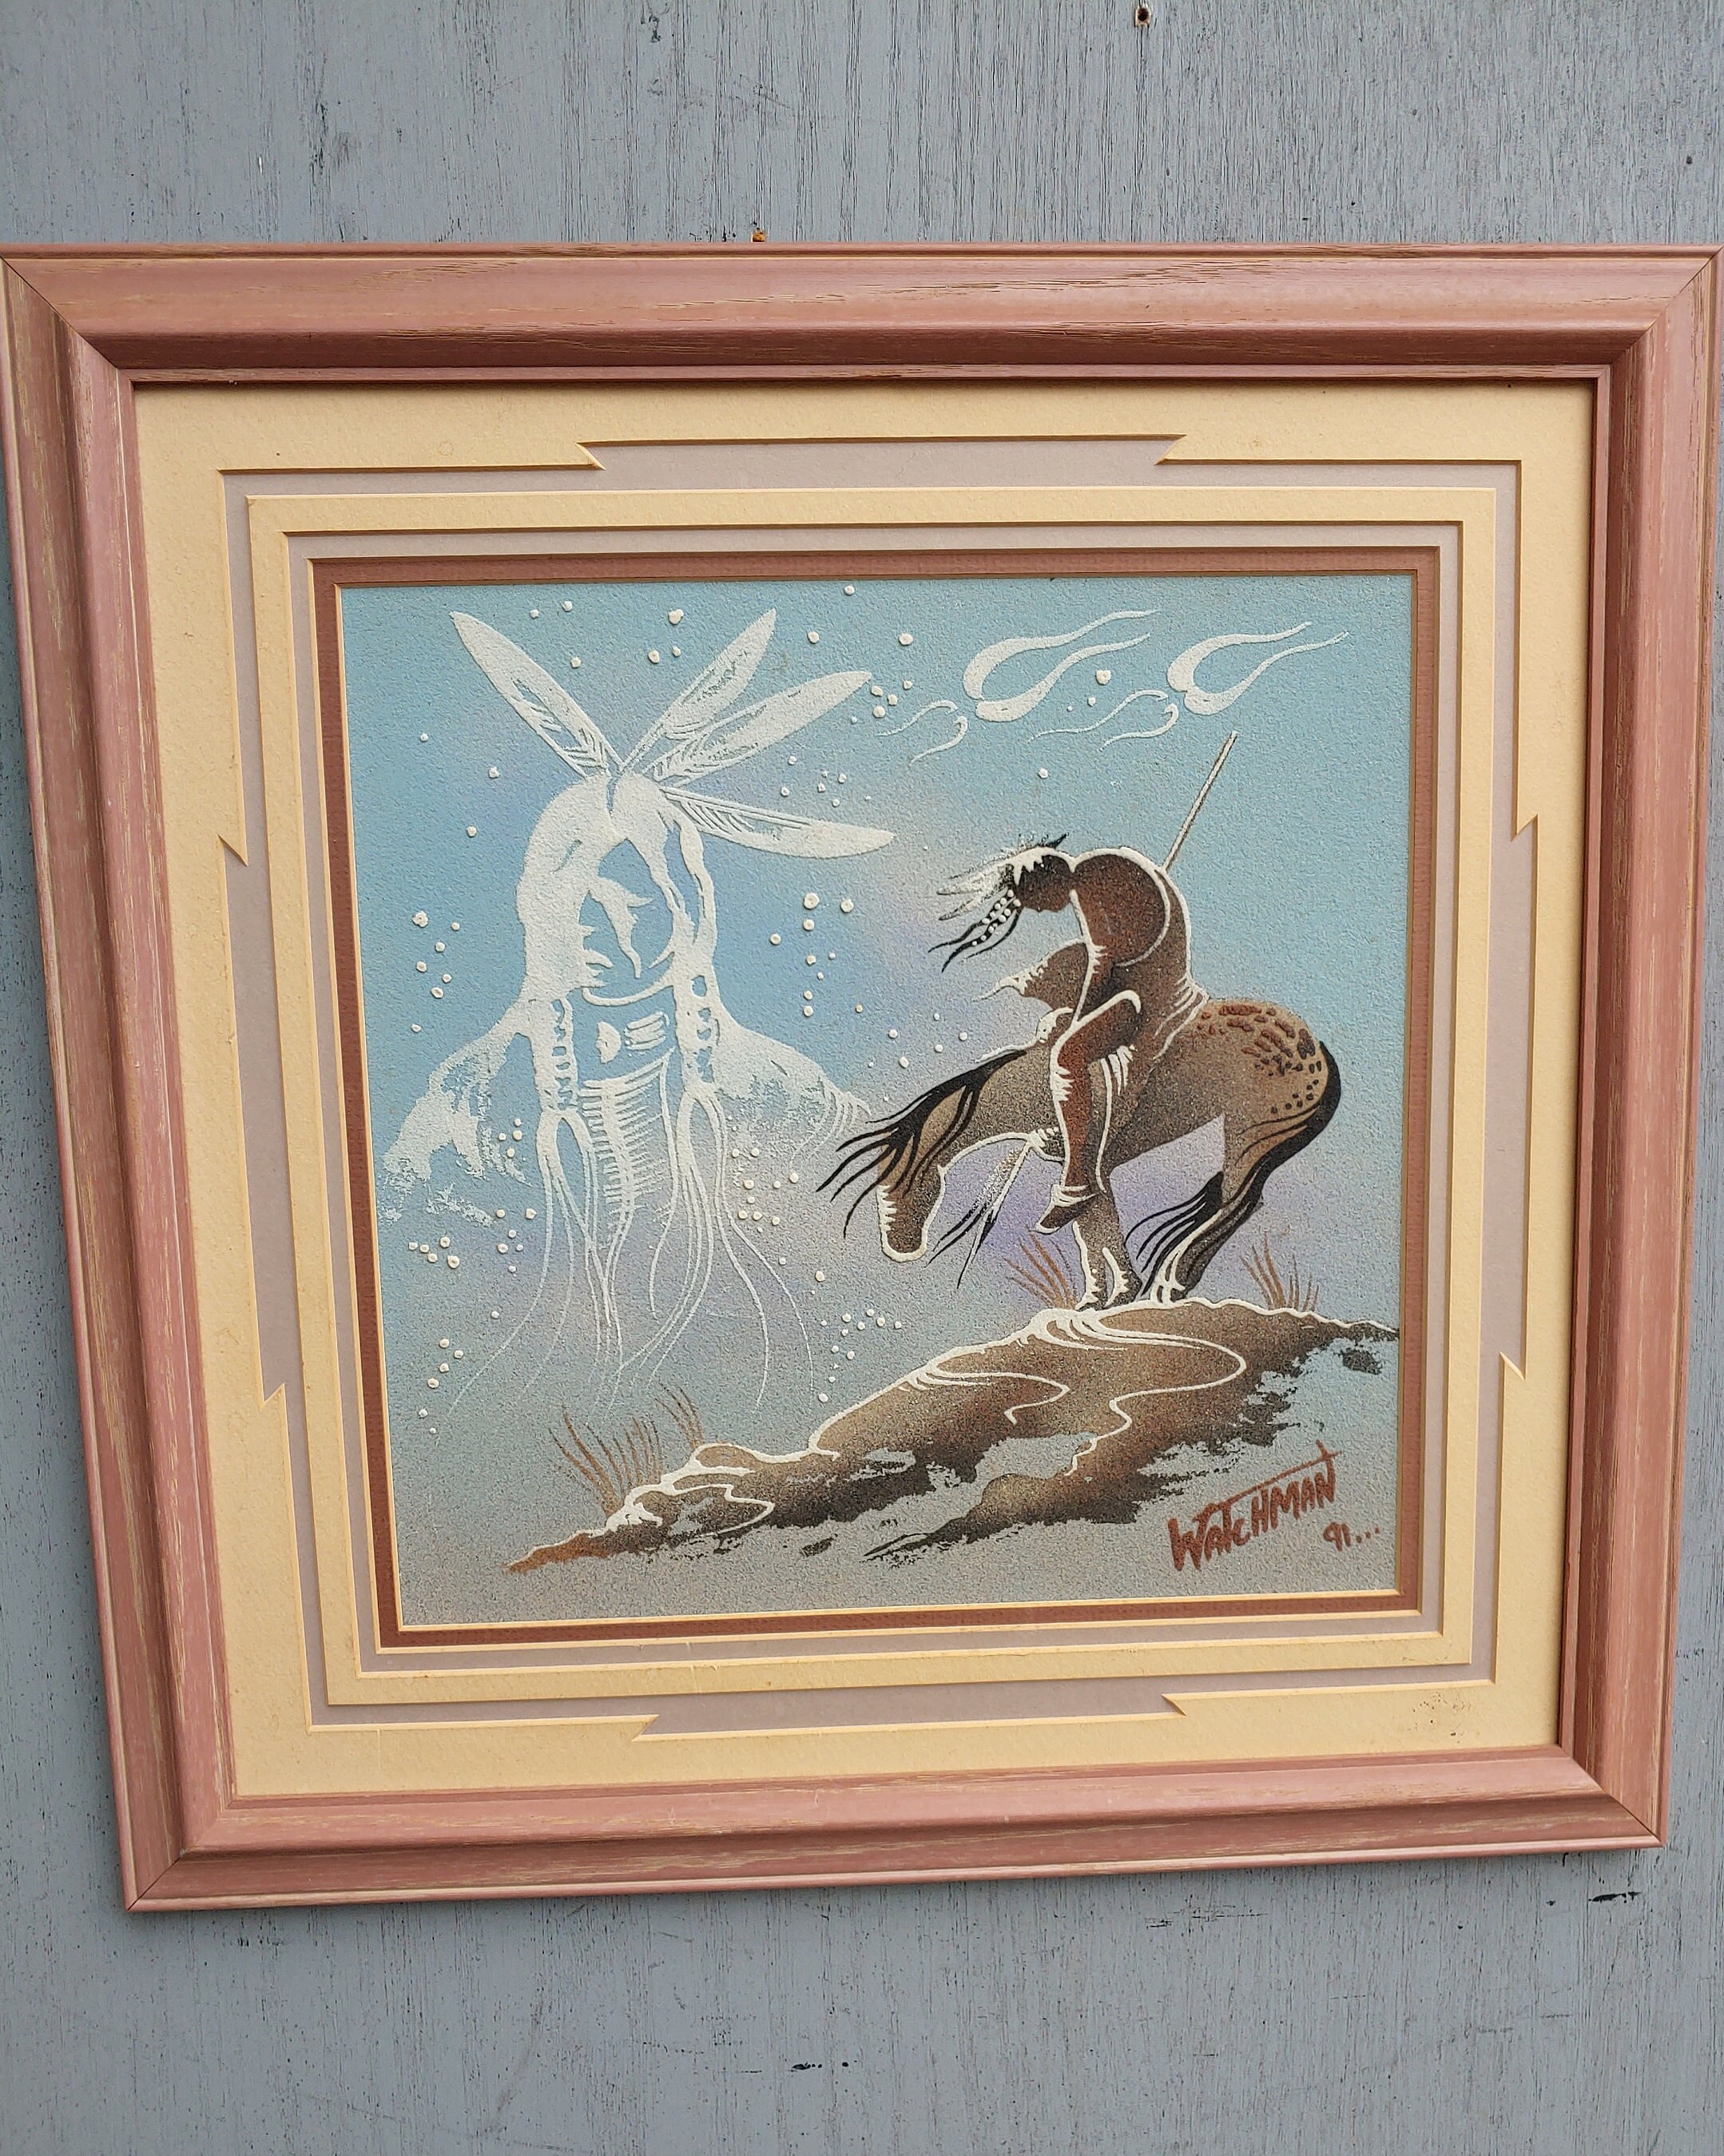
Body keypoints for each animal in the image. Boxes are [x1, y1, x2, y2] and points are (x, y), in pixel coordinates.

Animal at [822, 942, 1340, 1307]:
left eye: (901, 1184)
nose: (899, 1246)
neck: (1036, 1088)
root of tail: (1316, 1047)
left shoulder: (1088, 1170)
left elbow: (1093, 1230)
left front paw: (1119, 1294)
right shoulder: (1091, 1174)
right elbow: (1094, 1235)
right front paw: (1101, 1299)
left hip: (1249, 1136)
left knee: (1235, 1205)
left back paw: (1174, 1283)